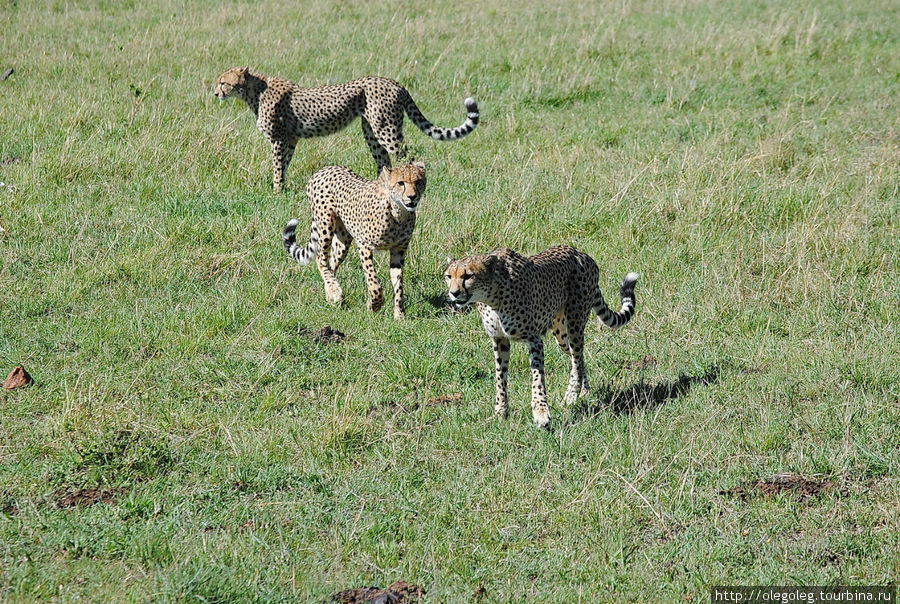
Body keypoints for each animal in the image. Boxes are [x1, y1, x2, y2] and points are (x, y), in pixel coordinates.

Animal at [214, 67, 478, 192]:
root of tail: (394, 82)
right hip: (371, 132)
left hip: (386, 129)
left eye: (223, 82)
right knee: (384, 161)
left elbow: (278, 167)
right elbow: (285, 164)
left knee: (409, 156)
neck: (254, 90)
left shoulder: (279, 138)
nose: (216, 94)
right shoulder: (290, 139)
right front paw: (284, 189)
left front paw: (277, 190)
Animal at [284, 160, 428, 320]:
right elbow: (373, 281)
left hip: (343, 239)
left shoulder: (399, 250)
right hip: (326, 225)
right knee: (321, 259)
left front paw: (399, 315)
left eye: (418, 181)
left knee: (331, 263)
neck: (398, 212)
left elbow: (398, 284)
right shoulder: (364, 244)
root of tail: (326, 168)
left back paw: (332, 293)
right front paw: (374, 305)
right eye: (401, 183)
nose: (412, 196)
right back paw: (334, 291)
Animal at [444, 247, 640, 430]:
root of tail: (580, 253)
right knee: (578, 358)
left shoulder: (534, 339)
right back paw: (584, 391)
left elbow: (537, 379)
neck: (492, 297)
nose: (454, 293)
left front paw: (541, 413)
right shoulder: (499, 339)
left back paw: (571, 395)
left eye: (468, 276)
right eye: (448, 276)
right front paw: (501, 412)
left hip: (575, 323)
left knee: (577, 358)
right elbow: (500, 378)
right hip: (560, 333)